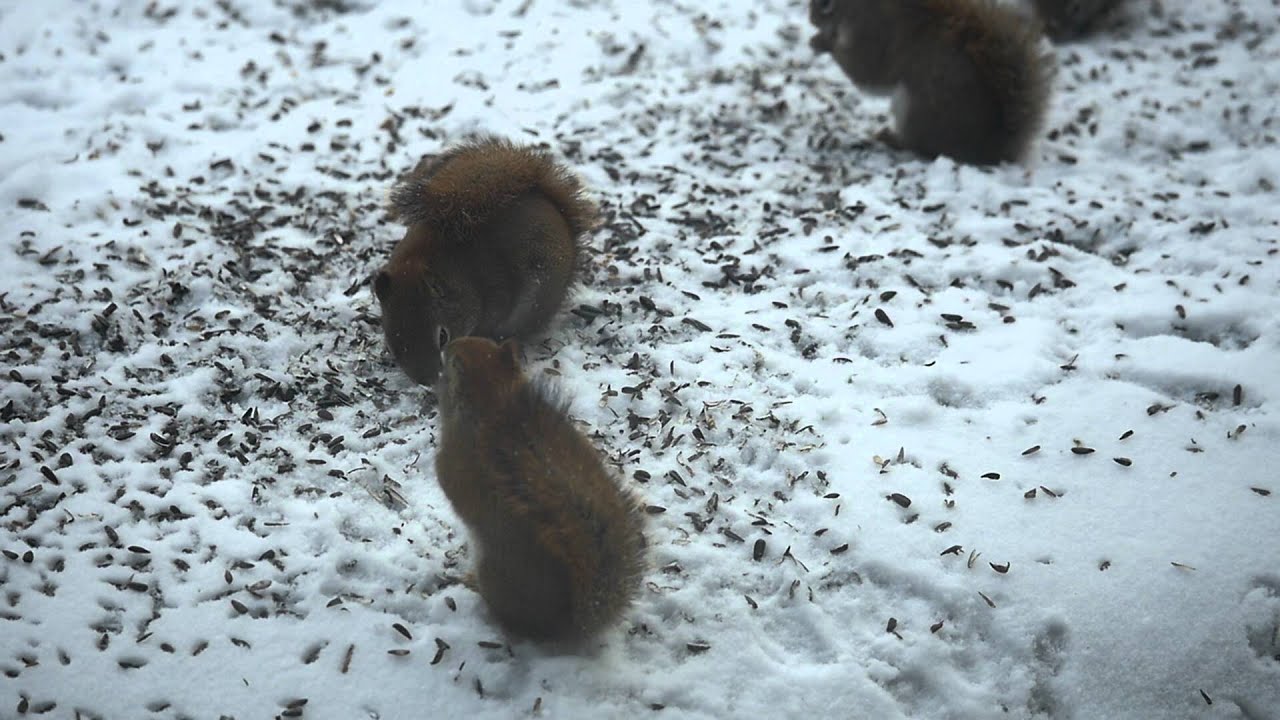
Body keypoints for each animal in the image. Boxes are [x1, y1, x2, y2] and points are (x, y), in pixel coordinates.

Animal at [433, 337, 647, 641]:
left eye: (451, 362)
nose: (447, 343)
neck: (493, 401)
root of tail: (561, 622)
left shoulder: (454, 461)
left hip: (495, 575)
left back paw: (472, 583)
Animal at [808, 0, 1052, 165]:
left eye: (826, 3)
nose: (811, 18)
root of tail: (991, 151)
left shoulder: (876, 34)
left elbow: (866, 71)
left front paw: (820, 42)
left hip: (917, 111)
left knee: (921, 147)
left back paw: (890, 139)